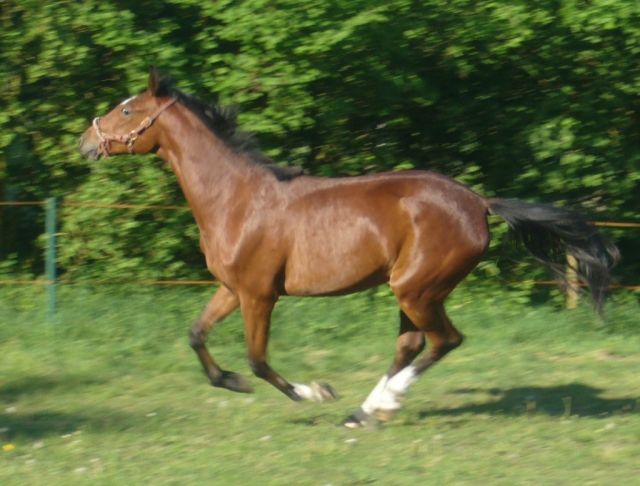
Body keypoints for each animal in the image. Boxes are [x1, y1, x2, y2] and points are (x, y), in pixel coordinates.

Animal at [79, 68, 619, 428]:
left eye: (127, 109)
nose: (85, 140)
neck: (235, 198)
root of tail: (479, 202)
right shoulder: (231, 289)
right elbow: (196, 335)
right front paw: (231, 382)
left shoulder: (259, 294)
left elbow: (258, 359)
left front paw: (314, 392)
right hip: (414, 289)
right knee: (413, 344)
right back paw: (364, 411)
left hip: (416, 288)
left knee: (444, 341)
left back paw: (385, 401)